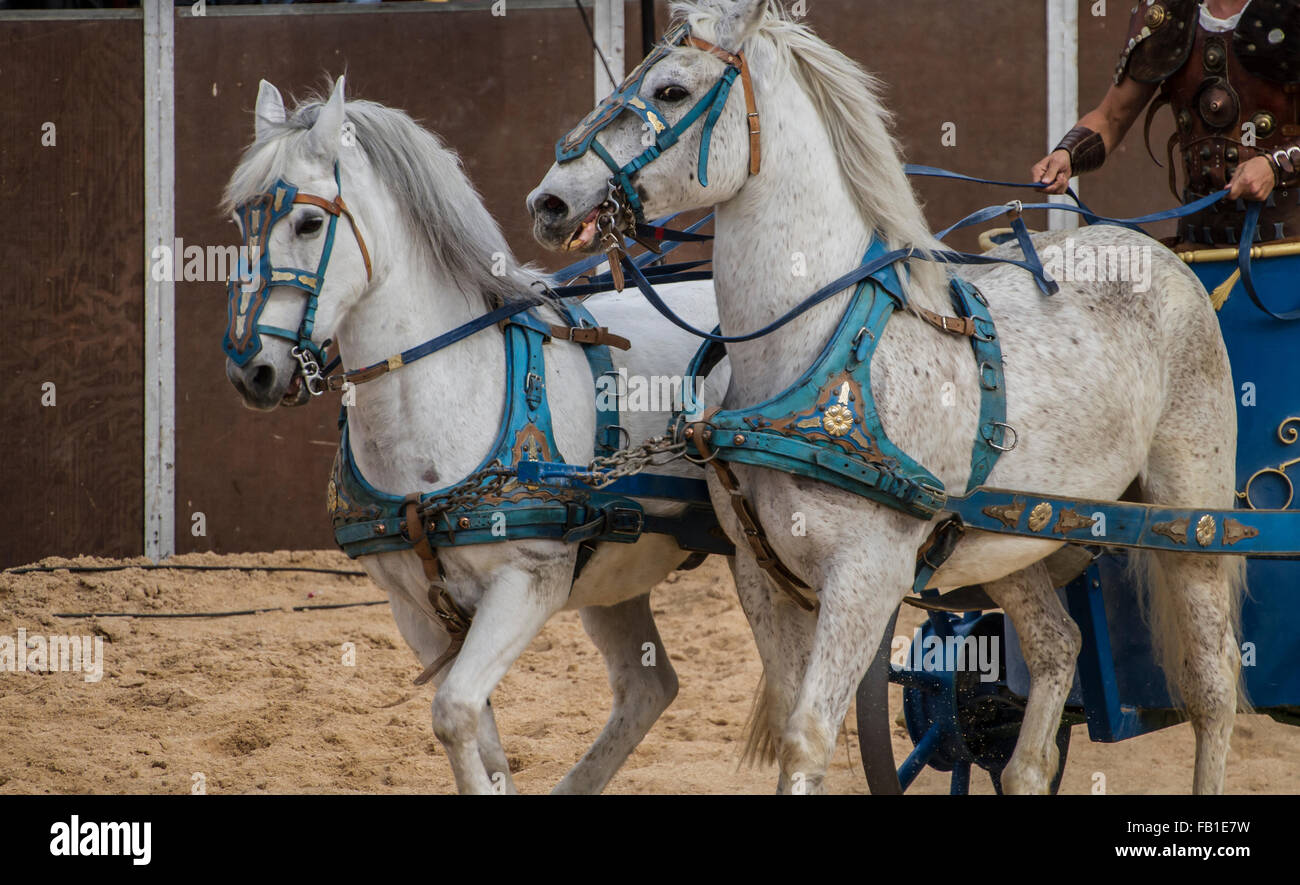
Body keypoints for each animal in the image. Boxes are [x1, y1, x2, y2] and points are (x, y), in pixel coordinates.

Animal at [227, 77, 728, 795]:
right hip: (618, 572)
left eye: (310, 223)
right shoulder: (417, 609)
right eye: (241, 221)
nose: (252, 370)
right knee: (648, 689)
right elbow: (481, 744)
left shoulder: (527, 582)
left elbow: (454, 710)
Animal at [530, 0, 1248, 795]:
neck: (812, 351)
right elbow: (791, 718)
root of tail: (1161, 257)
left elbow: (809, 736)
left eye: (671, 92)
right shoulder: (759, 574)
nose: (549, 201)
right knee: (1059, 649)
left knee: (1213, 686)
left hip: (1191, 519)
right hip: (1011, 540)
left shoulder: (865, 578)